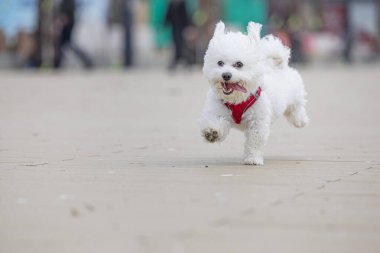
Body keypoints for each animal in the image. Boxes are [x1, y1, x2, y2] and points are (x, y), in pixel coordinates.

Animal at [199, 21, 308, 164]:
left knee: (296, 107)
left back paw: (300, 120)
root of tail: (278, 66)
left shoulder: (258, 121)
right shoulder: (217, 110)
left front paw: (252, 158)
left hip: (295, 94)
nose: (226, 75)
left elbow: (255, 141)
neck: (237, 99)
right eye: (220, 63)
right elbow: (214, 121)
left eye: (239, 64)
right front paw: (211, 132)